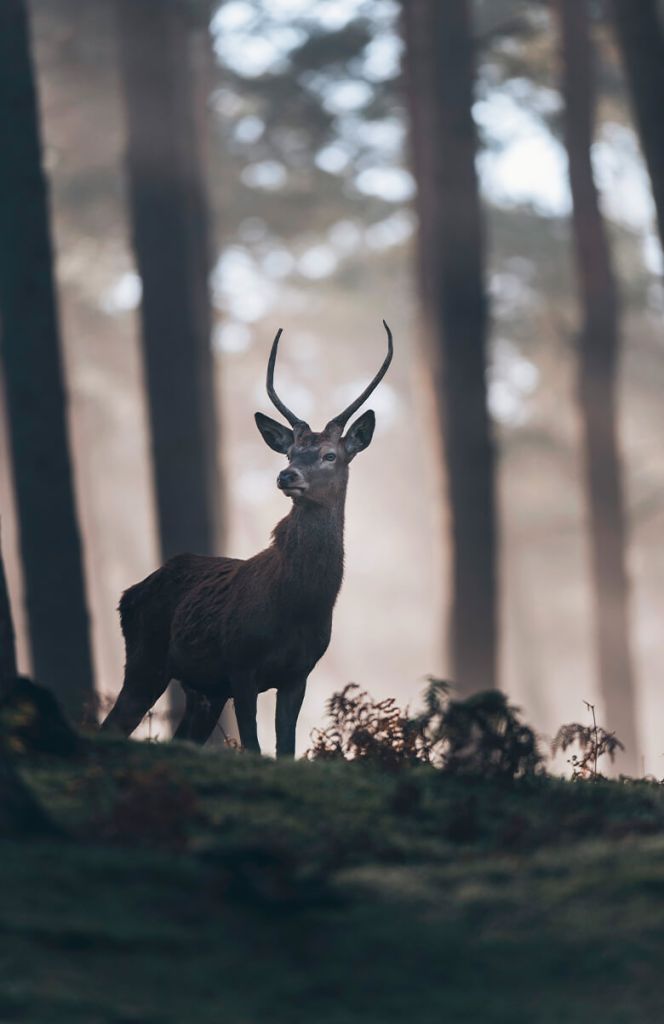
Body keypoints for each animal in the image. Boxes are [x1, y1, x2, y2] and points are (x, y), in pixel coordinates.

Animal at [101, 323, 393, 757]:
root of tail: (128, 594)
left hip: (201, 689)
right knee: (113, 724)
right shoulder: (240, 665)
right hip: (144, 658)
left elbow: (286, 749)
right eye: (289, 452)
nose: (287, 475)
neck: (298, 606)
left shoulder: (298, 673)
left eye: (329, 455)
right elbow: (254, 746)